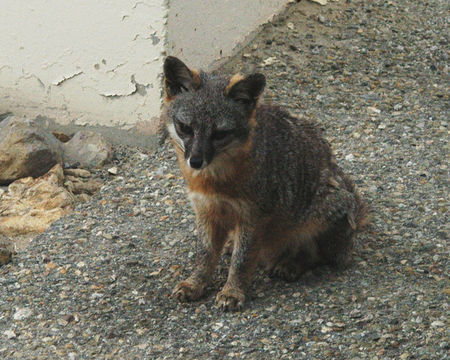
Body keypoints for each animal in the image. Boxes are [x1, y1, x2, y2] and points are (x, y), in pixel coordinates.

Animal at [163, 54, 368, 310]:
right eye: (185, 128)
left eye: (220, 134)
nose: (196, 161)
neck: (215, 182)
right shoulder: (205, 212)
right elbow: (205, 254)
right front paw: (195, 283)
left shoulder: (253, 217)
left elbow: (241, 261)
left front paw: (232, 291)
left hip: (319, 216)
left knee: (320, 256)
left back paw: (292, 264)